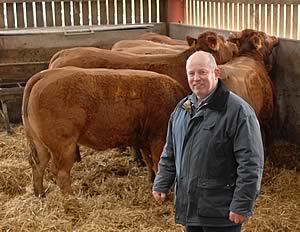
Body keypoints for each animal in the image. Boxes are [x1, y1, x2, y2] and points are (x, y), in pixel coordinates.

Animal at [22, 67, 185, 196]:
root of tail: (45, 75)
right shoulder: (159, 137)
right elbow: (158, 163)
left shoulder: (145, 139)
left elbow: (149, 161)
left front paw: (151, 180)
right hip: (63, 144)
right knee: (60, 171)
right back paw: (71, 198)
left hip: (39, 142)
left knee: (37, 163)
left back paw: (40, 194)